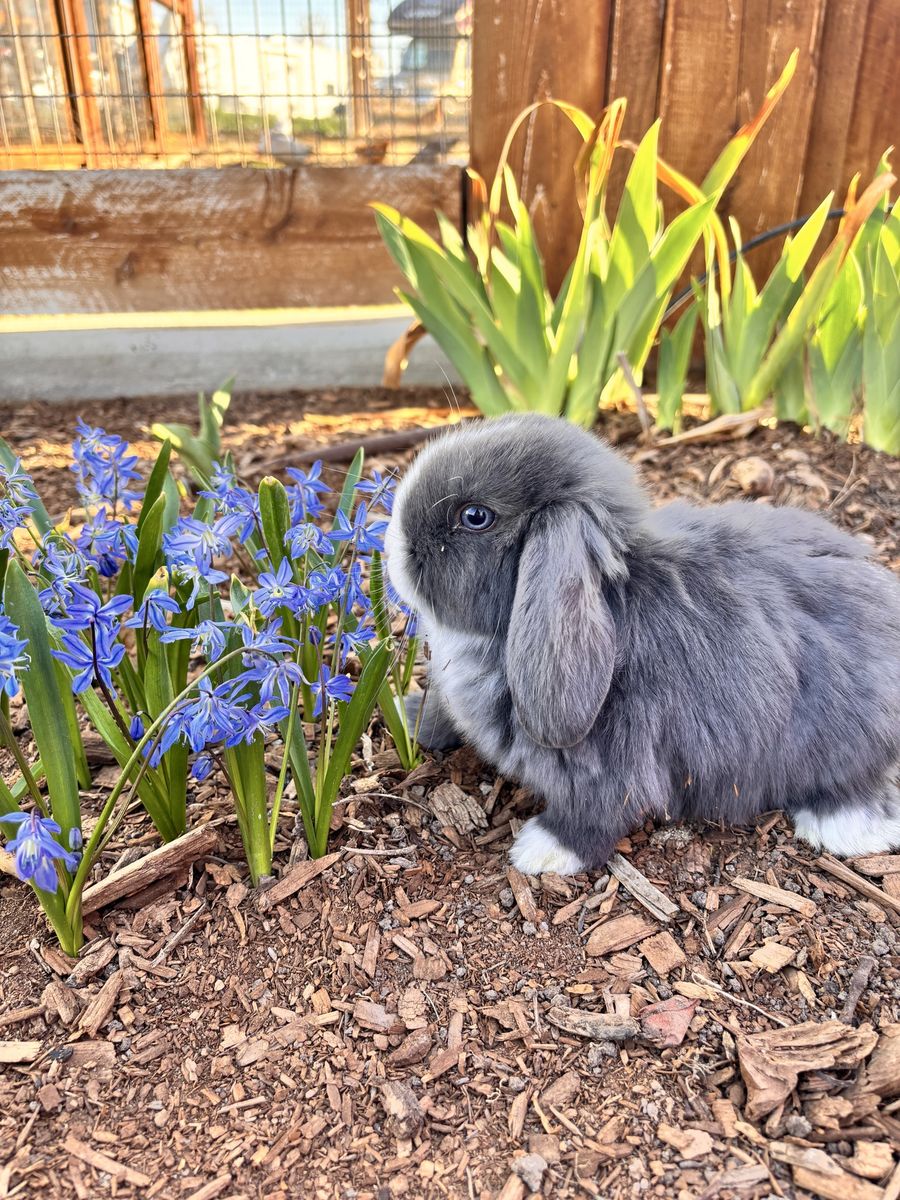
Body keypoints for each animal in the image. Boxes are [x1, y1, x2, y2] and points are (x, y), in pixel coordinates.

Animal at [384, 413, 900, 876]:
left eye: (475, 517)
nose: (390, 543)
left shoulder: (612, 764)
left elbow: (595, 813)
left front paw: (540, 853)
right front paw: (410, 715)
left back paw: (843, 829)